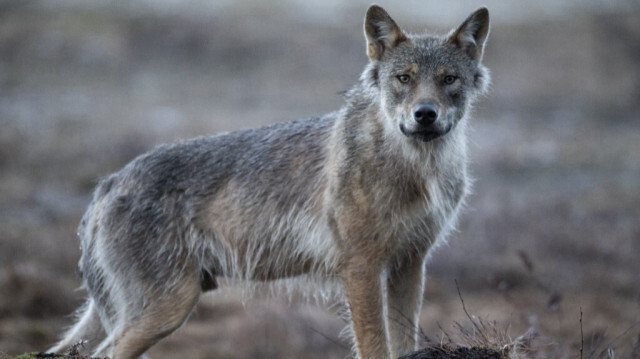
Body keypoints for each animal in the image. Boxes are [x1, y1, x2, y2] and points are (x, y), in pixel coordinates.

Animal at [50, 6, 490, 359]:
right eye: (404, 78)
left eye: (449, 79)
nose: (425, 114)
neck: (416, 169)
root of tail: (109, 182)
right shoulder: (361, 267)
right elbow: (374, 345)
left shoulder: (408, 264)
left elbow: (403, 340)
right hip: (166, 309)